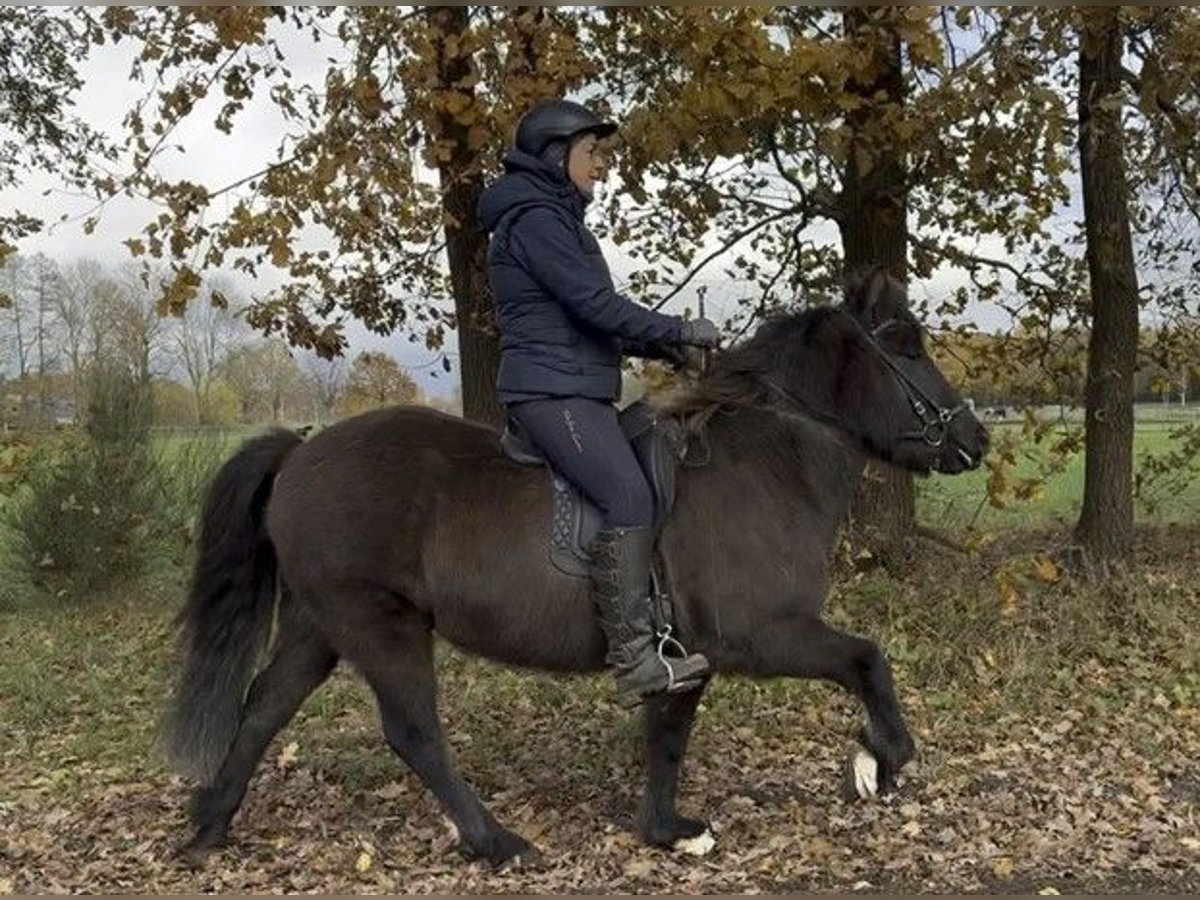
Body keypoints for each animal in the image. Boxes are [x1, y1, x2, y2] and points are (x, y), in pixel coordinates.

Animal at [174, 267, 988, 868]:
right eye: (906, 346)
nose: (975, 439)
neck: (766, 460)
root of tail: (300, 453)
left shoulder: (688, 653)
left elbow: (668, 732)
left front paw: (666, 830)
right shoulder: (760, 635)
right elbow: (867, 659)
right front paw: (881, 759)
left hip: (320, 624)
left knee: (263, 706)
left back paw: (210, 827)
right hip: (378, 625)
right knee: (413, 734)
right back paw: (496, 843)